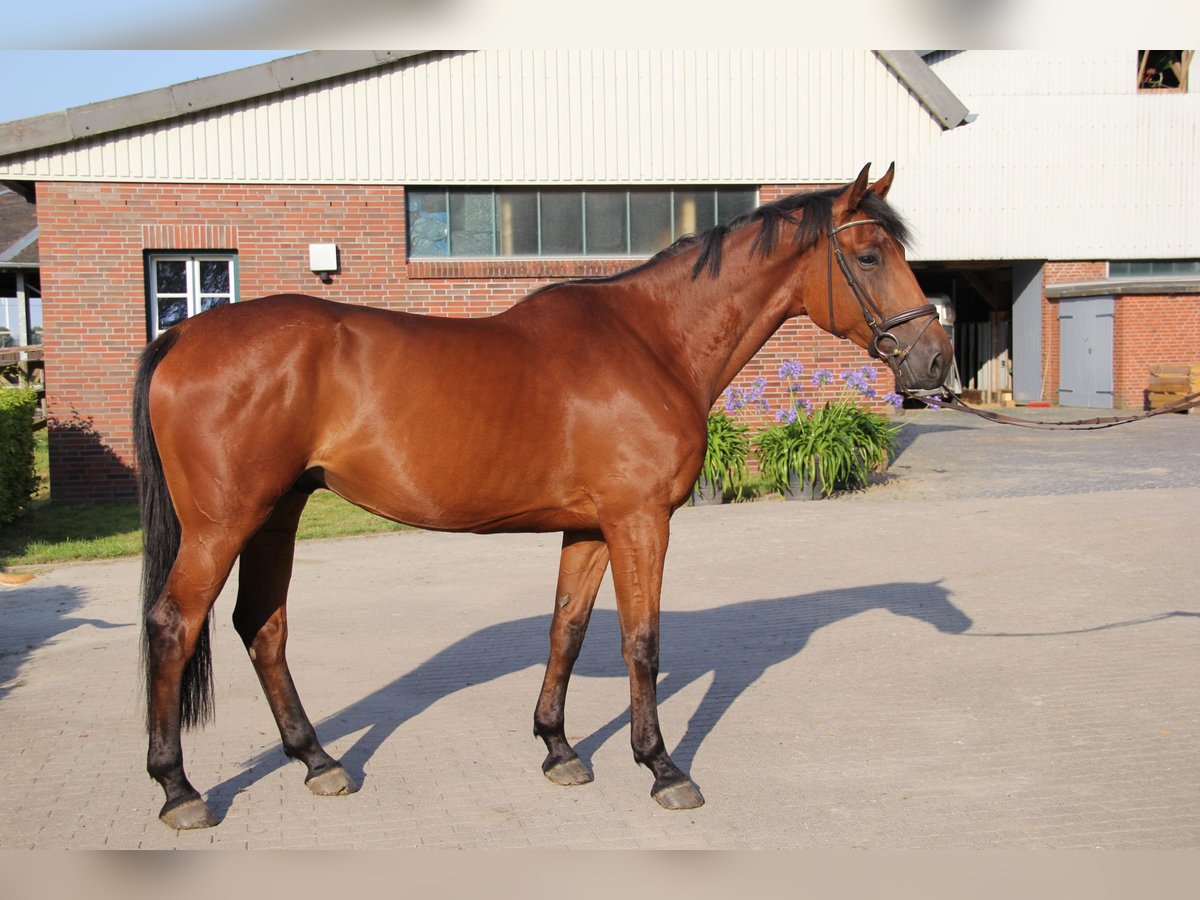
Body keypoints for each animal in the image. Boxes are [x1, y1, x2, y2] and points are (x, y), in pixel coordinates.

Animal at [136, 164, 950, 830]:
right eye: (870, 255)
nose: (935, 360)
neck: (653, 341)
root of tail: (185, 336)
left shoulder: (590, 529)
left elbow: (568, 629)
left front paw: (558, 748)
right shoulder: (640, 522)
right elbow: (642, 643)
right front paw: (662, 768)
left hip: (277, 514)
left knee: (261, 627)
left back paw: (318, 761)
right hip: (222, 524)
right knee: (174, 626)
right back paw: (179, 790)